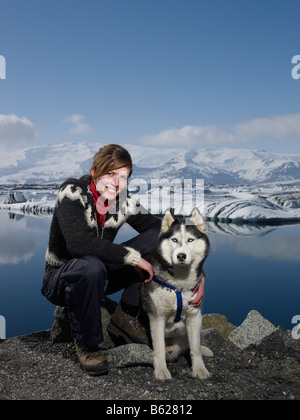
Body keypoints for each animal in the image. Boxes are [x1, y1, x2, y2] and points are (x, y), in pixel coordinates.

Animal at [142, 208, 212, 380]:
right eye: (174, 240)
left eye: (190, 240)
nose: (181, 256)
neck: (179, 286)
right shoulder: (157, 317)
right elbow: (159, 348)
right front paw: (161, 370)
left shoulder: (194, 315)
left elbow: (195, 348)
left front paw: (199, 368)